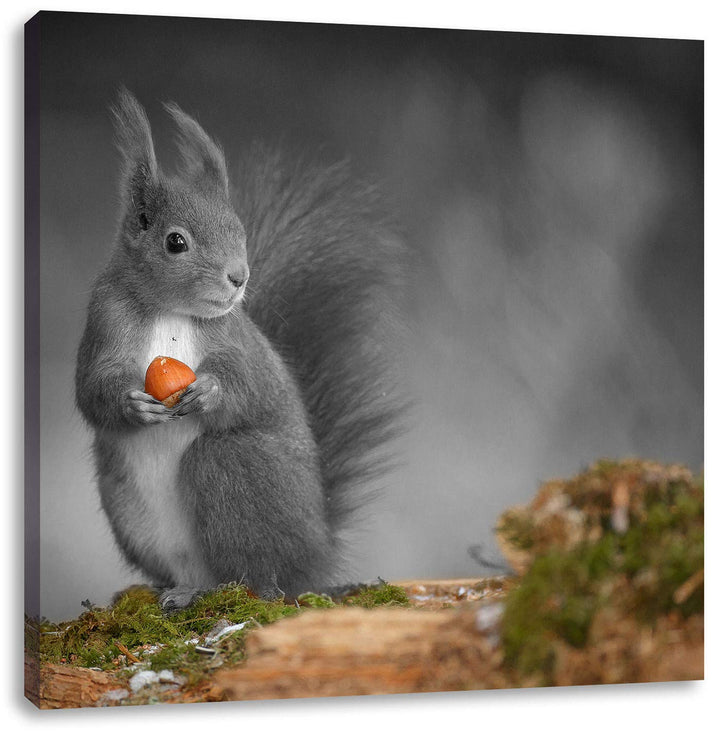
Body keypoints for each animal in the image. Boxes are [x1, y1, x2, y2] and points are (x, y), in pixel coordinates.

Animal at [75, 89, 405, 610]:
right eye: (175, 242)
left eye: (239, 230)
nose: (239, 277)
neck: (169, 310)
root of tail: (316, 557)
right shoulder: (104, 321)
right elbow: (91, 389)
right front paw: (131, 404)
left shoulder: (236, 340)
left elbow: (246, 383)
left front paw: (211, 391)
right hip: (126, 506)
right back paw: (173, 591)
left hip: (235, 467)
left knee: (254, 567)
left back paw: (253, 588)